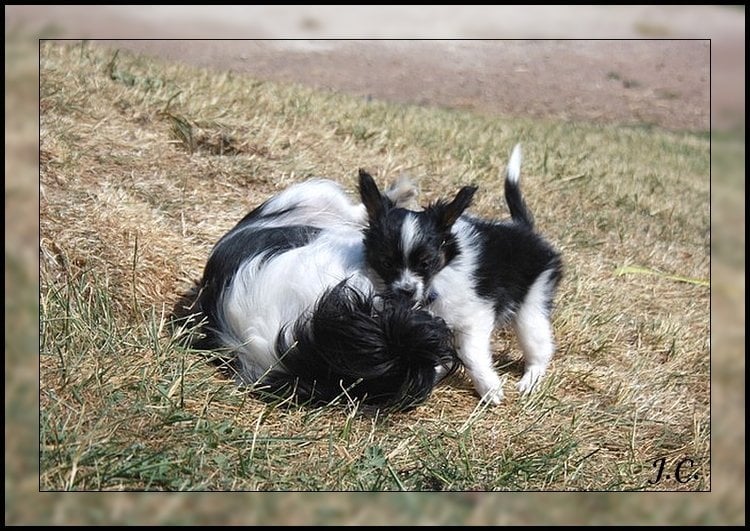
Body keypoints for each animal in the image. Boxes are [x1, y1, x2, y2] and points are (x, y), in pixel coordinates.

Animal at [360, 145, 564, 404]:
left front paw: (489, 387)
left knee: (540, 347)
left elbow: (469, 353)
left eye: (426, 263)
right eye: (386, 262)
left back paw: (530, 380)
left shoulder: (475, 316)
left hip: (532, 306)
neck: (436, 282)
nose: (406, 291)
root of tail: (523, 229)